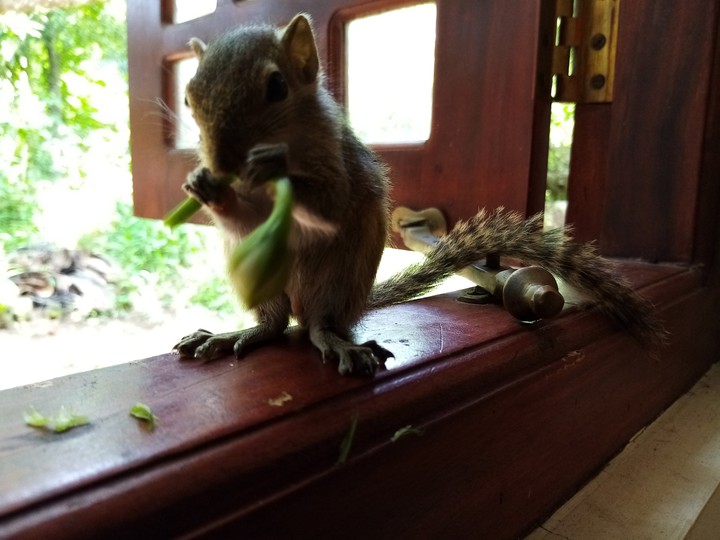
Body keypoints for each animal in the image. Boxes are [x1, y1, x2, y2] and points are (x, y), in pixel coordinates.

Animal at [173, 14, 665, 376]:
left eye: (277, 87)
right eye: (189, 97)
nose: (221, 161)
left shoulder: (339, 165)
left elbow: (328, 205)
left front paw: (271, 166)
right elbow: (246, 221)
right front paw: (205, 187)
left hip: (333, 282)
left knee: (316, 326)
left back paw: (334, 341)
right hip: (260, 281)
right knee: (274, 325)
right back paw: (232, 336)